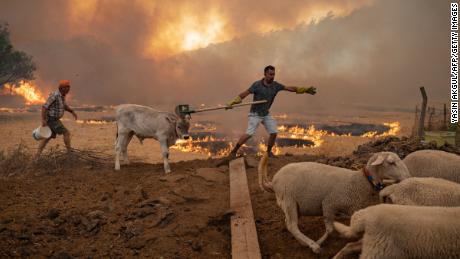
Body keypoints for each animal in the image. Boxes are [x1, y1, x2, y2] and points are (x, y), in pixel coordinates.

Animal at [256, 151, 412, 255]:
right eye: (391, 163)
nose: (408, 177)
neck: (361, 181)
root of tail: (273, 181)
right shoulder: (329, 204)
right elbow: (330, 230)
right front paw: (319, 242)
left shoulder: (352, 207)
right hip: (288, 199)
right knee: (292, 225)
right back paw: (312, 245)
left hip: (291, 204)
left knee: (289, 223)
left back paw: (302, 241)